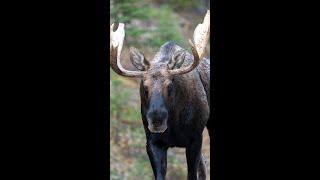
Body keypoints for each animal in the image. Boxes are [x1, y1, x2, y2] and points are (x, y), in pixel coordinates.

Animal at [109, 10, 210, 180]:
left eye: (170, 85)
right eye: (144, 86)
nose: (157, 120)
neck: (175, 124)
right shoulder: (153, 143)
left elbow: (192, 174)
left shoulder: (195, 139)